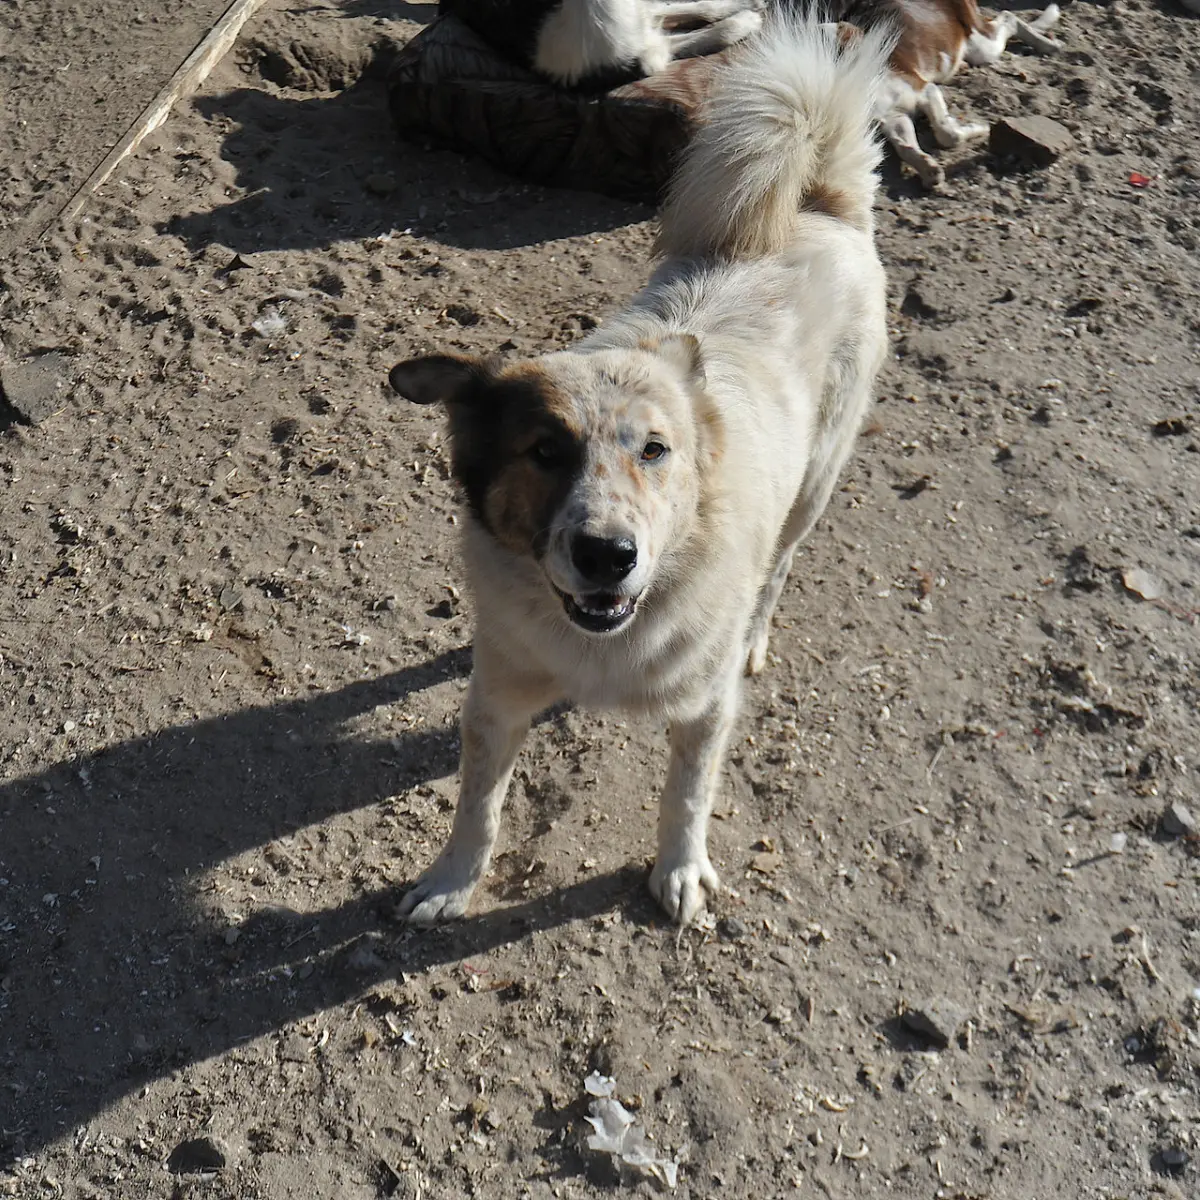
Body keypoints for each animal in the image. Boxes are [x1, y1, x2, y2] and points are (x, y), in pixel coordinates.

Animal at [388, 18, 897, 926]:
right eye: (545, 450)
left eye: (656, 450)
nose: (607, 556)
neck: (602, 642)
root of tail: (819, 205)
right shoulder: (497, 698)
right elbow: (477, 806)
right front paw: (449, 882)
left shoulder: (704, 710)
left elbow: (687, 796)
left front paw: (681, 871)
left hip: (814, 485)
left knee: (780, 567)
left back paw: (757, 632)